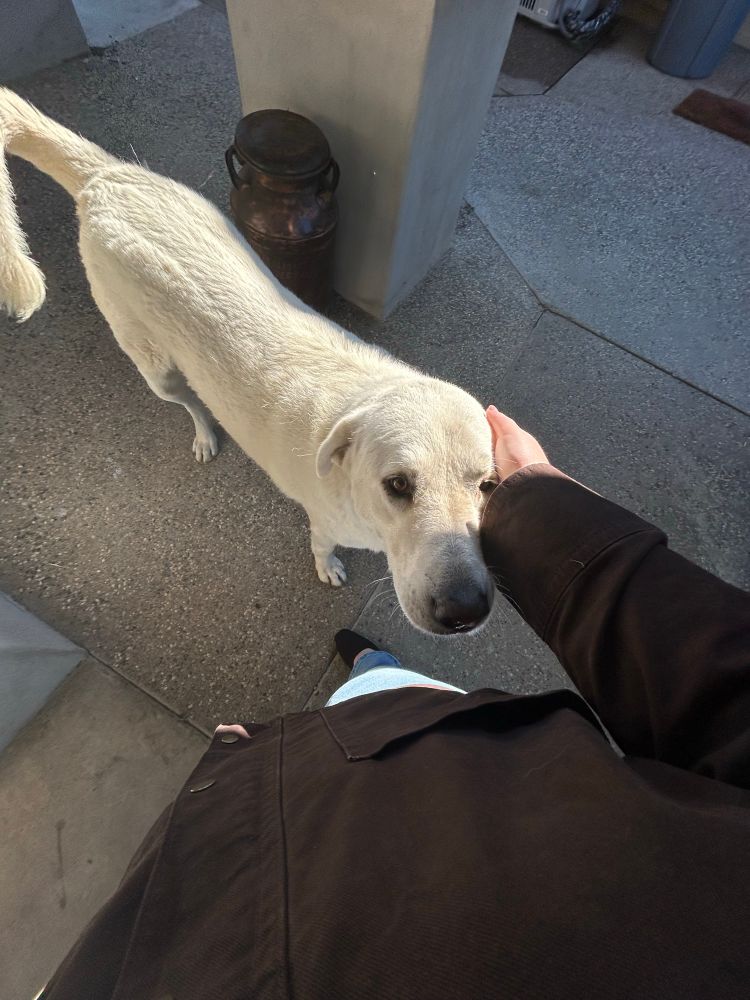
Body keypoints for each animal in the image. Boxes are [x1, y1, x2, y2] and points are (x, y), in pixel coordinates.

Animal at [0, 89, 496, 635]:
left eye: (487, 485)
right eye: (398, 485)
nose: (464, 611)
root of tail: (105, 178)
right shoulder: (324, 522)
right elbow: (321, 547)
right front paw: (327, 567)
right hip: (155, 367)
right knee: (188, 401)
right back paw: (203, 433)